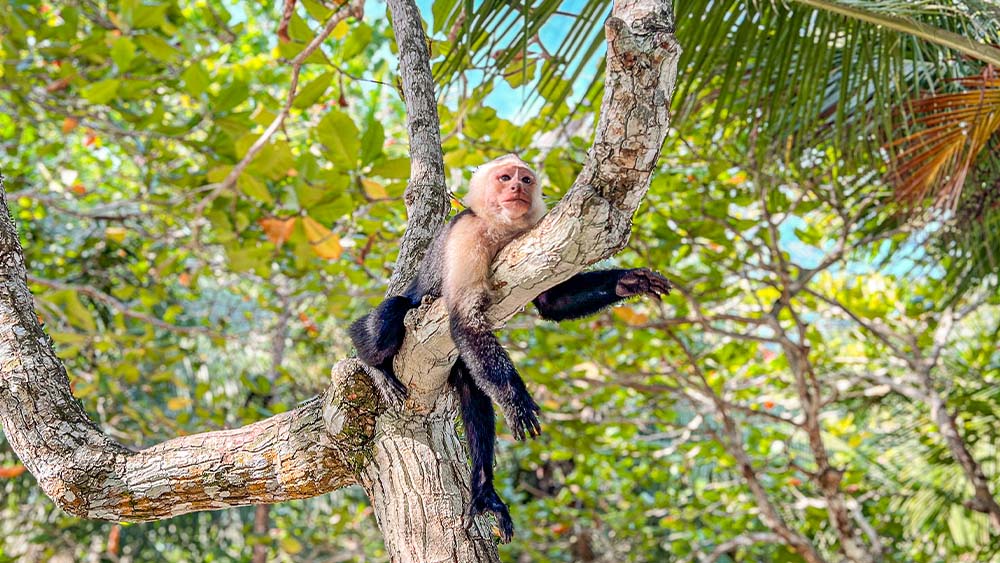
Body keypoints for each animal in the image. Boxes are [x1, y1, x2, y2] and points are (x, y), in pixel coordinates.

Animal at [350, 154, 671, 543]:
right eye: (505, 178)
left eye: (526, 180)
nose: (517, 187)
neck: (499, 229)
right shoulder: (468, 234)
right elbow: (464, 319)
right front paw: (516, 400)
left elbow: (551, 302)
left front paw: (629, 281)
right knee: (391, 315)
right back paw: (372, 360)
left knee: (473, 395)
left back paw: (484, 490)